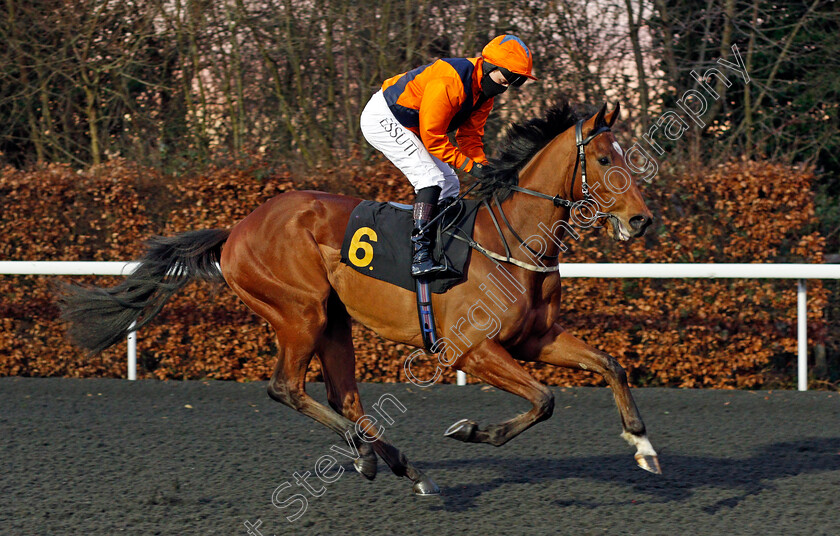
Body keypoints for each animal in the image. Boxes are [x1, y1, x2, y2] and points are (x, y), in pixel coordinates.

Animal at [59, 100, 664, 494]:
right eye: (605, 160)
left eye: (627, 157)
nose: (641, 220)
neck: (511, 240)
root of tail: (235, 230)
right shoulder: (471, 349)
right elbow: (544, 399)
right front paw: (472, 430)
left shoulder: (535, 338)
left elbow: (608, 364)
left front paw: (643, 445)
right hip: (300, 311)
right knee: (287, 387)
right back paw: (376, 458)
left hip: (334, 320)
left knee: (342, 395)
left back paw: (391, 463)